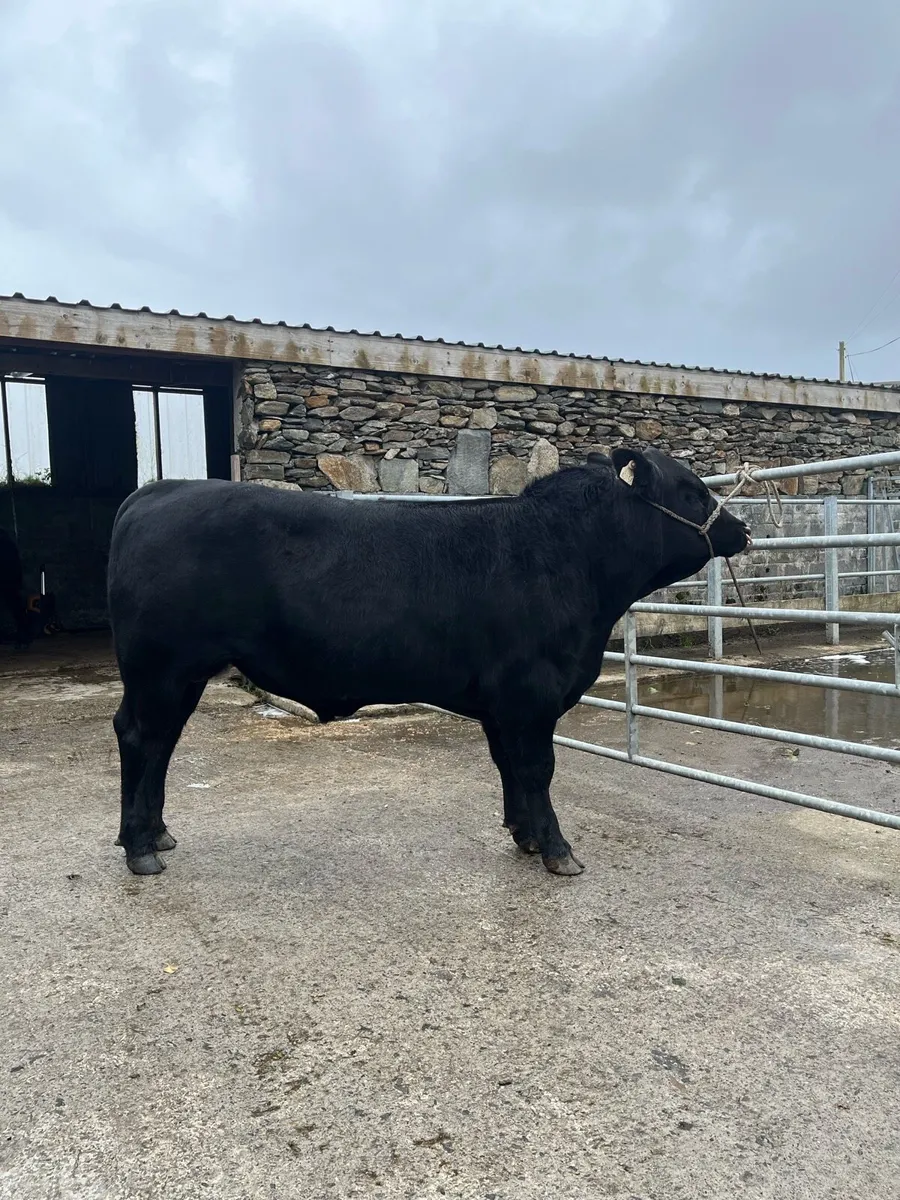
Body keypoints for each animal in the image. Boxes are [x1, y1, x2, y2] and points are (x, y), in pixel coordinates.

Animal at [107, 446, 751, 878]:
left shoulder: (502, 704)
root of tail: (156, 491)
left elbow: (510, 768)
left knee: (160, 743)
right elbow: (538, 769)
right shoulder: (531, 693)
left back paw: (158, 835)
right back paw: (139, 849)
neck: (568, 558)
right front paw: (559, 851)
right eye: (693, 490)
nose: (742, 529)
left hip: (181, 675)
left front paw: (524, 836)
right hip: (160, 668)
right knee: (140, 737)